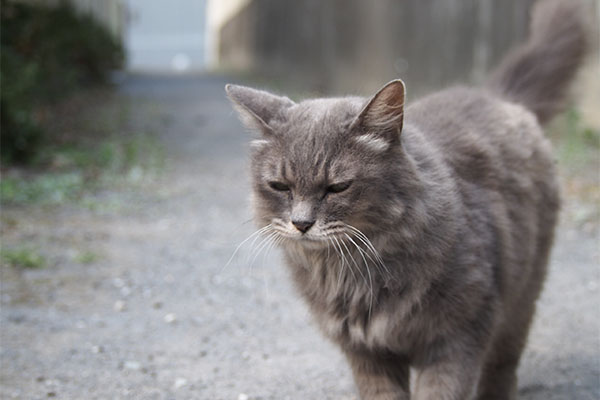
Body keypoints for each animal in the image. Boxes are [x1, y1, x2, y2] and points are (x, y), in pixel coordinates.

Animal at [225, 1, 584, 398]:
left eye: (337, 187)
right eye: (280, 186)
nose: (302, 223)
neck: (353, 271)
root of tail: (494, 94)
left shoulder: (456, 336)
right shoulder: (366, 353)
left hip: (521, 296)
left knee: (502, 365)